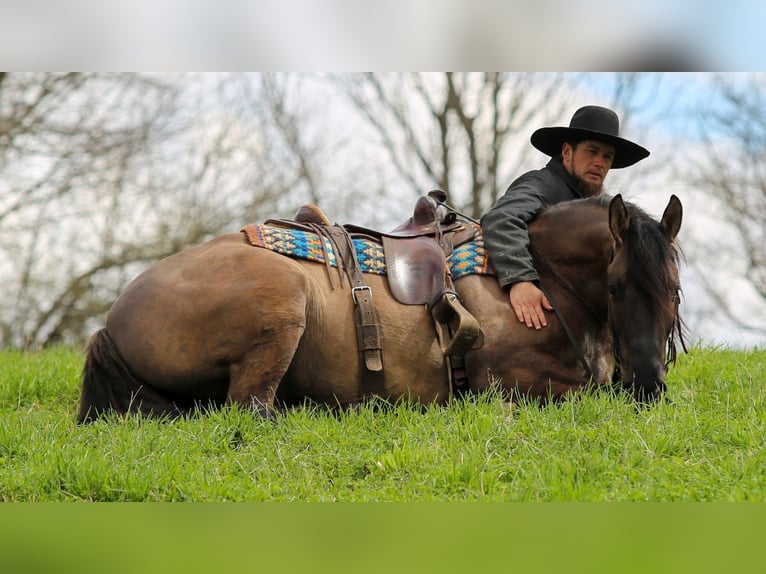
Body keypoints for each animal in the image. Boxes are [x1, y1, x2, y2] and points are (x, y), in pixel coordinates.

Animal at [77, 193, 684, 423]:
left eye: (675, 291)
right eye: (617, 287)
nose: (651, 384)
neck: (536, 281)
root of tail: (112, 321)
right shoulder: (505, 381)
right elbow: (587, 392)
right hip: (283, 305)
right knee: (252, 407)